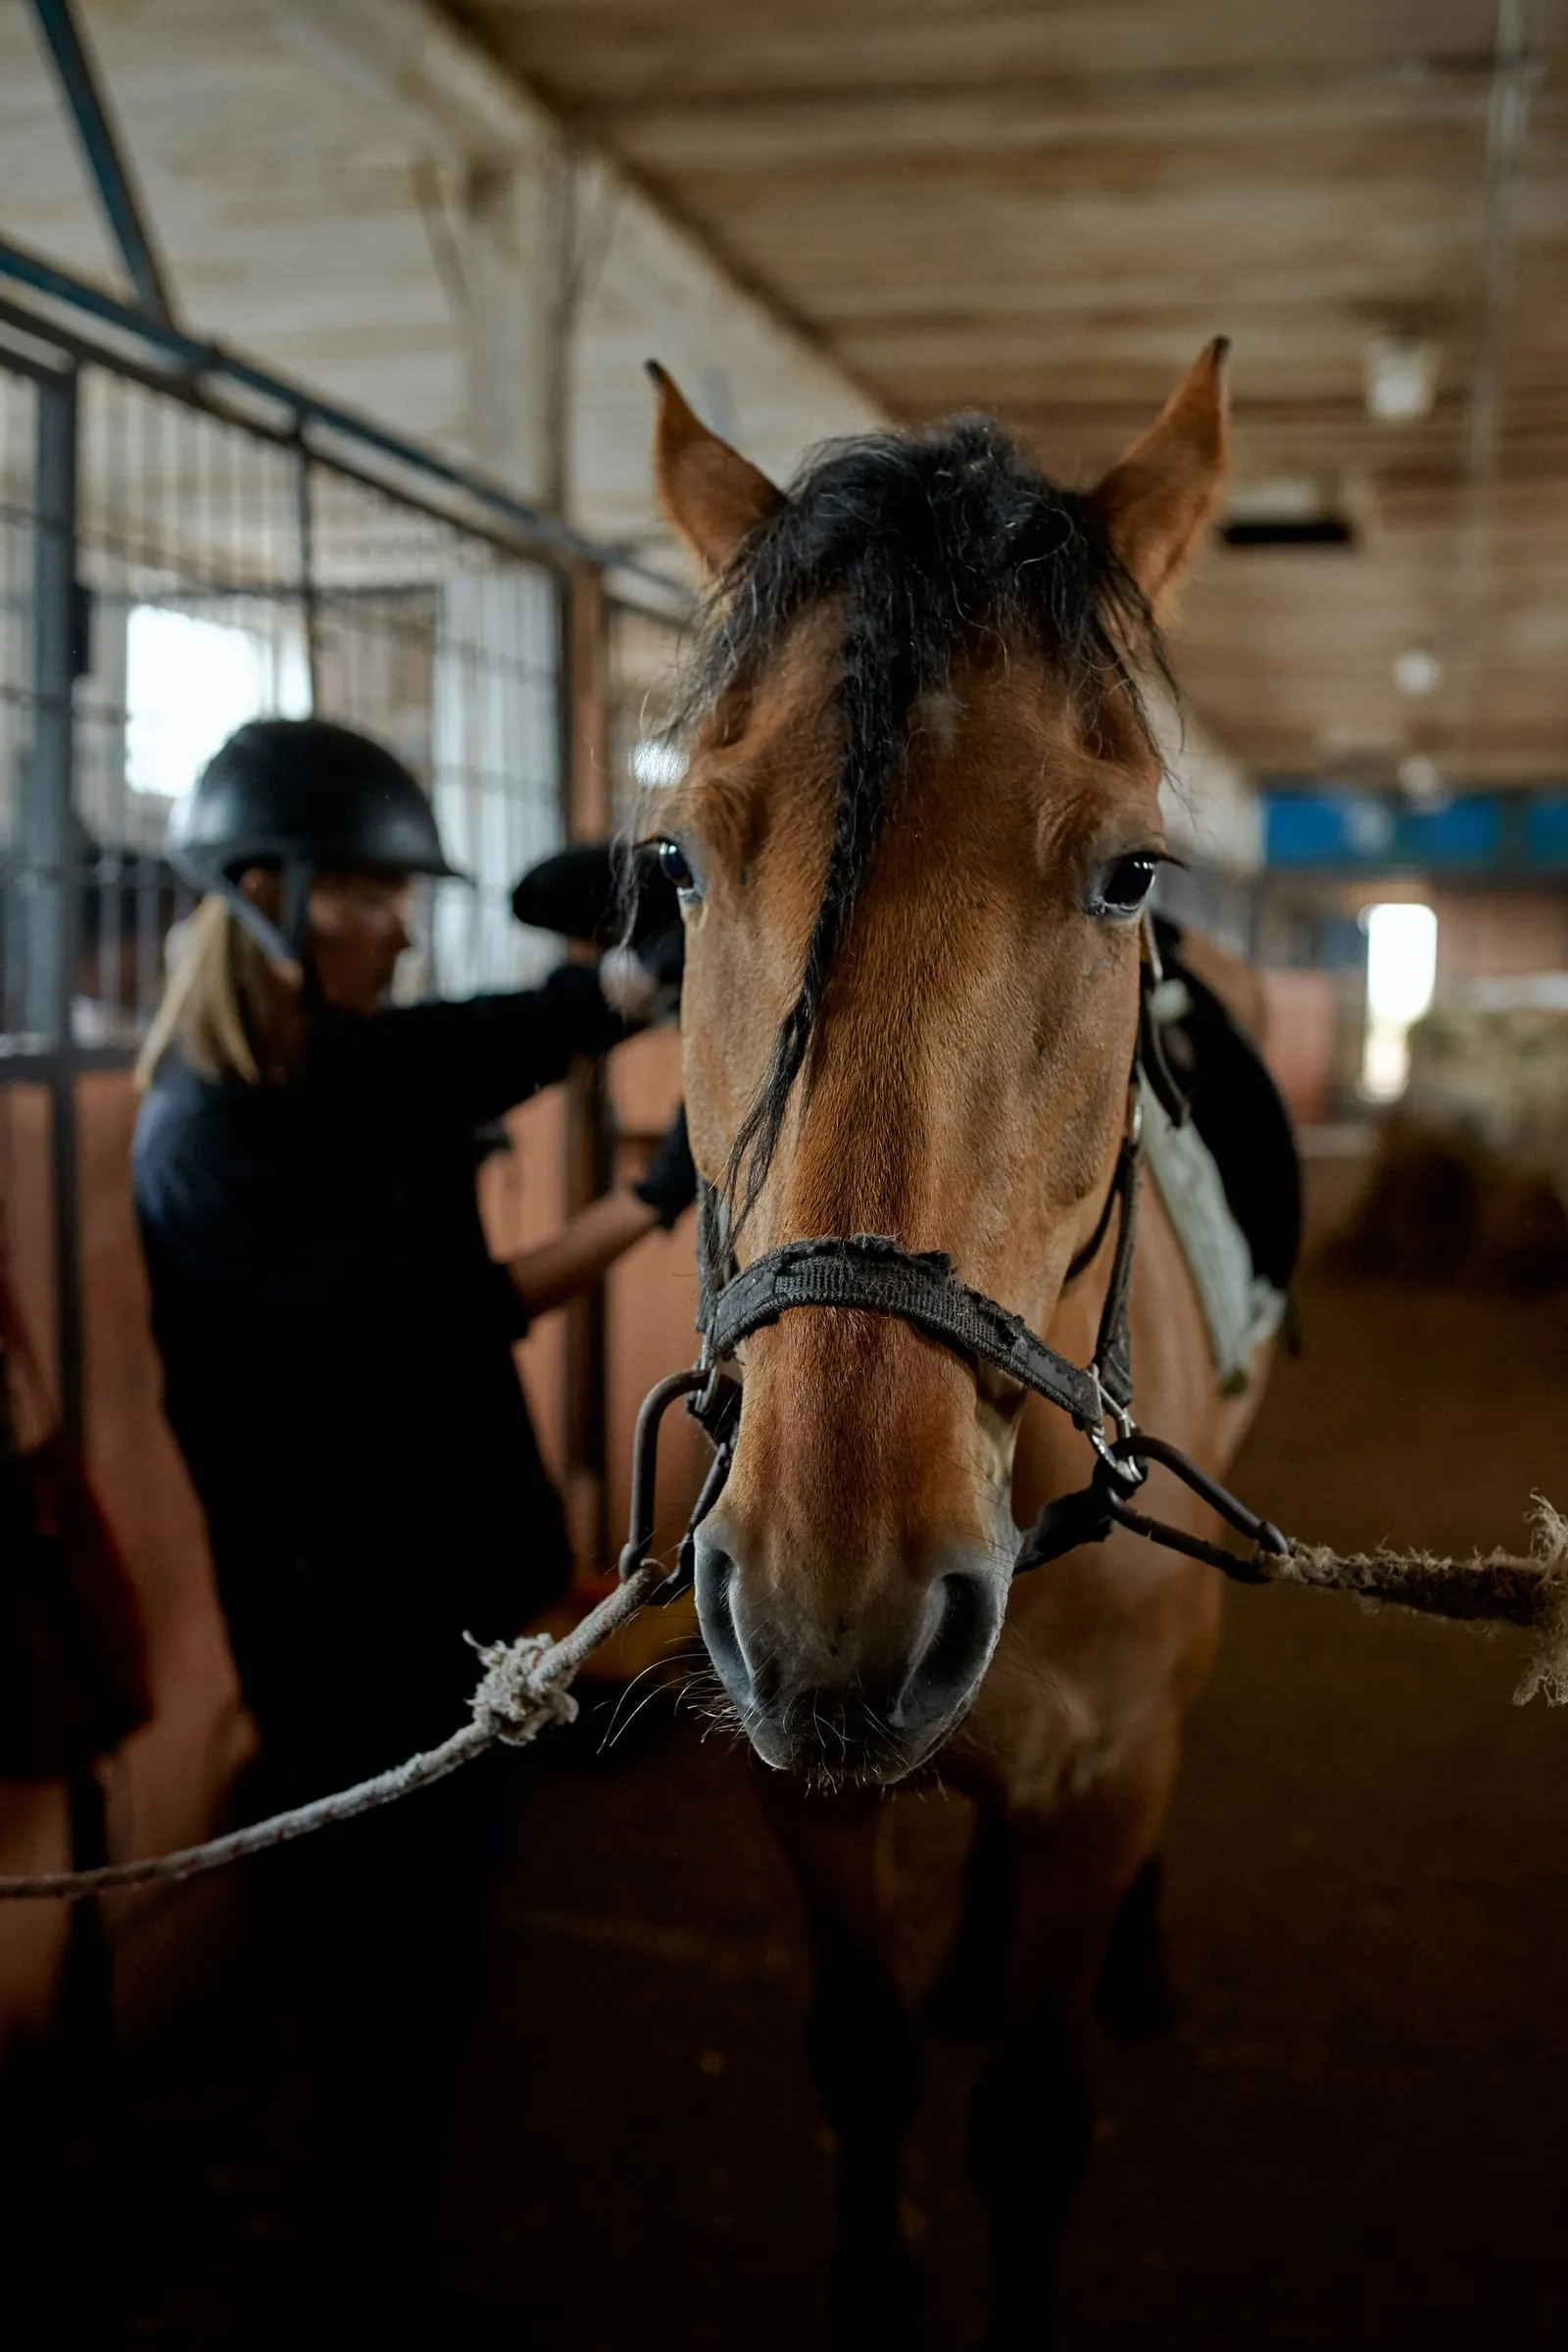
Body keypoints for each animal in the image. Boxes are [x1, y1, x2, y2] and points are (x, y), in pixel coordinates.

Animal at [640, 345, 1281, 2347]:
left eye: (1133, 874)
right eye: (675, 864)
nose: (832, 1608)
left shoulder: (1115, 1766)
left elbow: (1032, 2123)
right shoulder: (796, 1792)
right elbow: (861, 2062)